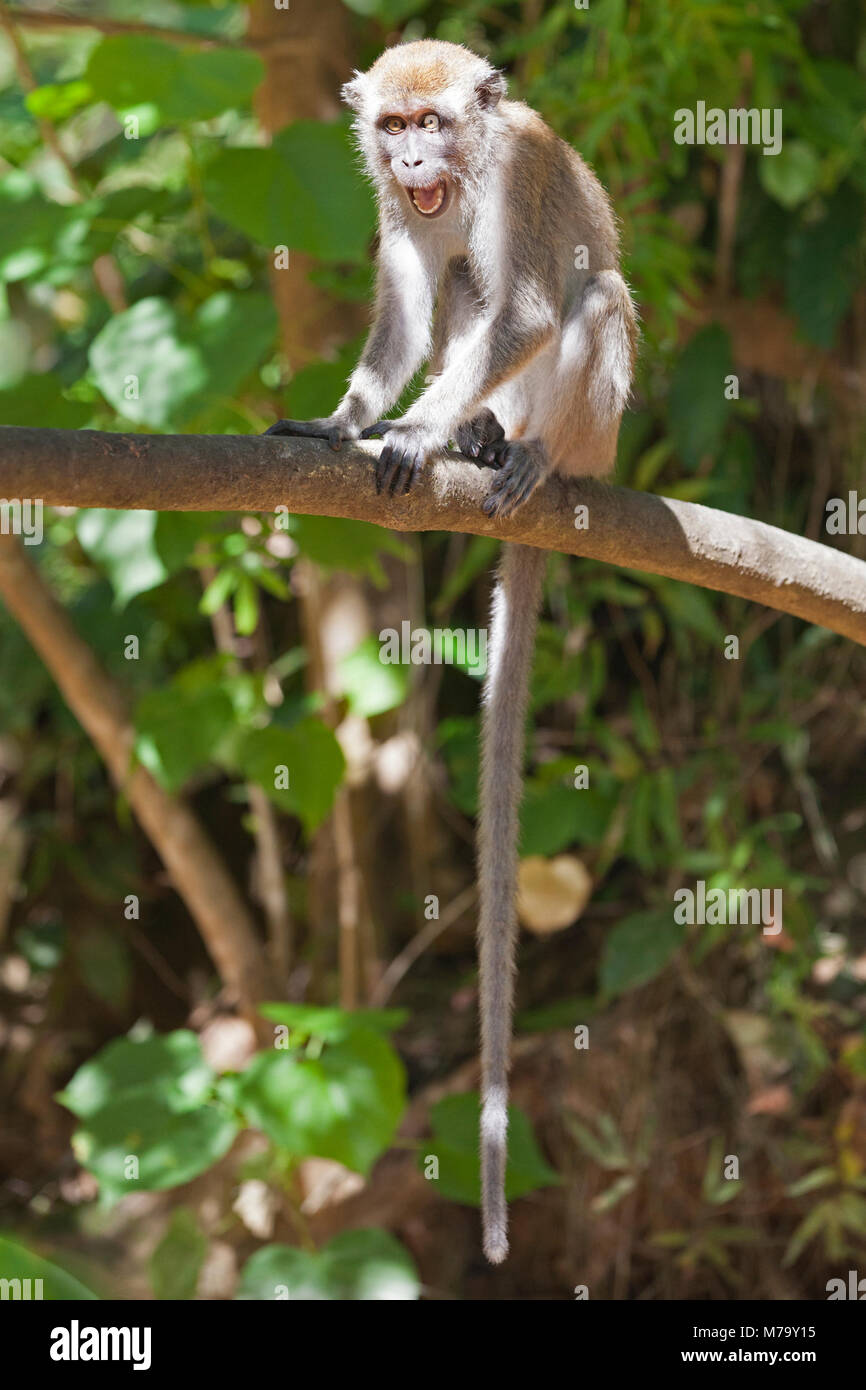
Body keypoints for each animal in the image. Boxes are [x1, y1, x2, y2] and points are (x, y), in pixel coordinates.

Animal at [266, 39, 637, 1264]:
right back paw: (476, 438)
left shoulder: (515, 173)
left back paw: (516, 453)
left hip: (596, 422)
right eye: (392, 129)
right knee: (460, 291)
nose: (417, 161)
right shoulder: (395, 212)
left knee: (582, 298)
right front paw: (348, 421)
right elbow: (414, 305)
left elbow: (519, 310)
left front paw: (419, 431)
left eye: (433, 123)